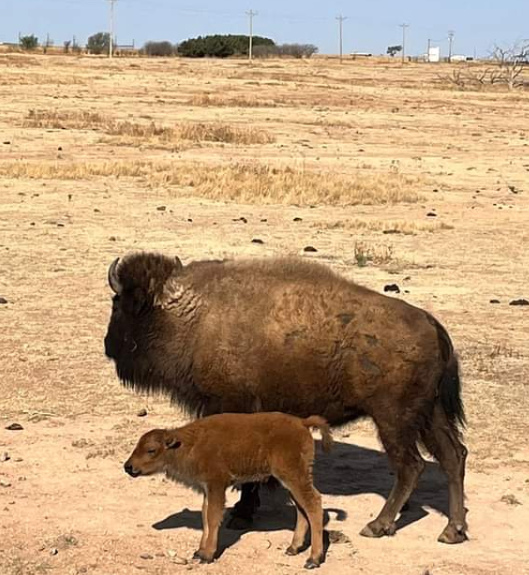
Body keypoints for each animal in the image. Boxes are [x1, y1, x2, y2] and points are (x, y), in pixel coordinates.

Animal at [103, 253, 466, 544]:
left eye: (117, 304)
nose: (108, 345)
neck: (191, 315)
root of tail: (433, 325)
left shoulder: (230, 409)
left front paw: (241, 514)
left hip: (393, 419)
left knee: (411, 466)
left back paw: (379, 525)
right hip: (429, 415)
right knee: (453, 456)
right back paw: (453, 530)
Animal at [125, 414, 330, 568]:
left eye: (151, 450)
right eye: (137, 445)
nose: (128, 467)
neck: (190, 443)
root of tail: (302, 422)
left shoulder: (217, 485)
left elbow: (213, 517)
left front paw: (207, 555)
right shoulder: (207, 489)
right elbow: (205, 516)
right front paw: (199, 552)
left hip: (295, 477)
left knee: (313, 503)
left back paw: (313, 559)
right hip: (289, 481)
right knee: (301, 509)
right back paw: (293, 548)